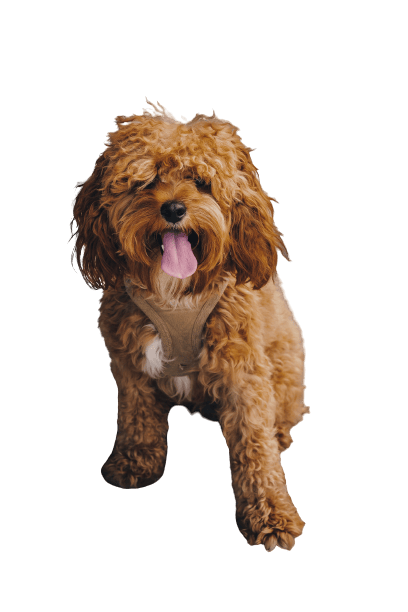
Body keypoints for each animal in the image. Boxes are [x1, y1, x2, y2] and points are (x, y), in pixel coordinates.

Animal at [69, 99, 310, 548]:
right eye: (145, 182)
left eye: (201, 182)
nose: (174, 208)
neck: (175, 293)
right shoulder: (130, 366)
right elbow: (137, 417)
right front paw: (134, 462)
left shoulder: (243, 371)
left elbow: (255, 447)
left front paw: (271, 516)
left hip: (286, 369)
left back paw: (280, 434)